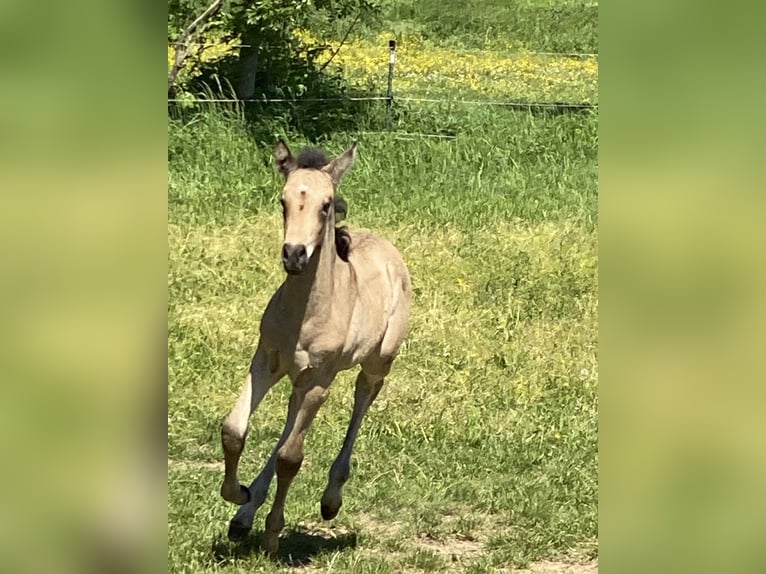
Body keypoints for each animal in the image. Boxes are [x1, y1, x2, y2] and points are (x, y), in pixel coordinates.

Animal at [220, 140, 414, 560]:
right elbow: (234, 431)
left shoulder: (320, 379)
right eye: (283, 200)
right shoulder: (266, 361)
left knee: (363, 396)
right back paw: (244, 515)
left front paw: (272, 536)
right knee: (290, 421)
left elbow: (291, 458)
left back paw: (331, 499)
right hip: (298, 379)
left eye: (326, 205)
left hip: (377, 361)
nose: (294, 254)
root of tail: (386, 247)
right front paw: (238, 495)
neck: (306, 314)